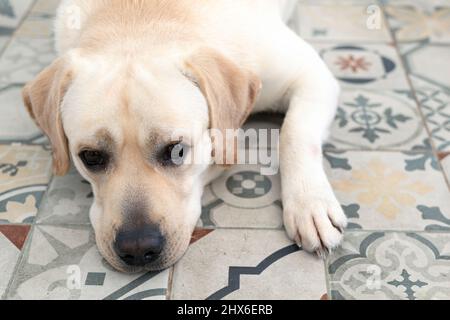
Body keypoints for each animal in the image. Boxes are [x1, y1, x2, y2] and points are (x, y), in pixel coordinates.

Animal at [23, 0, 348, 272]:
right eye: (91, 157)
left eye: (177, 151)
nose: (138, 249)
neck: (139, 17)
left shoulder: (313, 75)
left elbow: (294, 132)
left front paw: (310, 203)